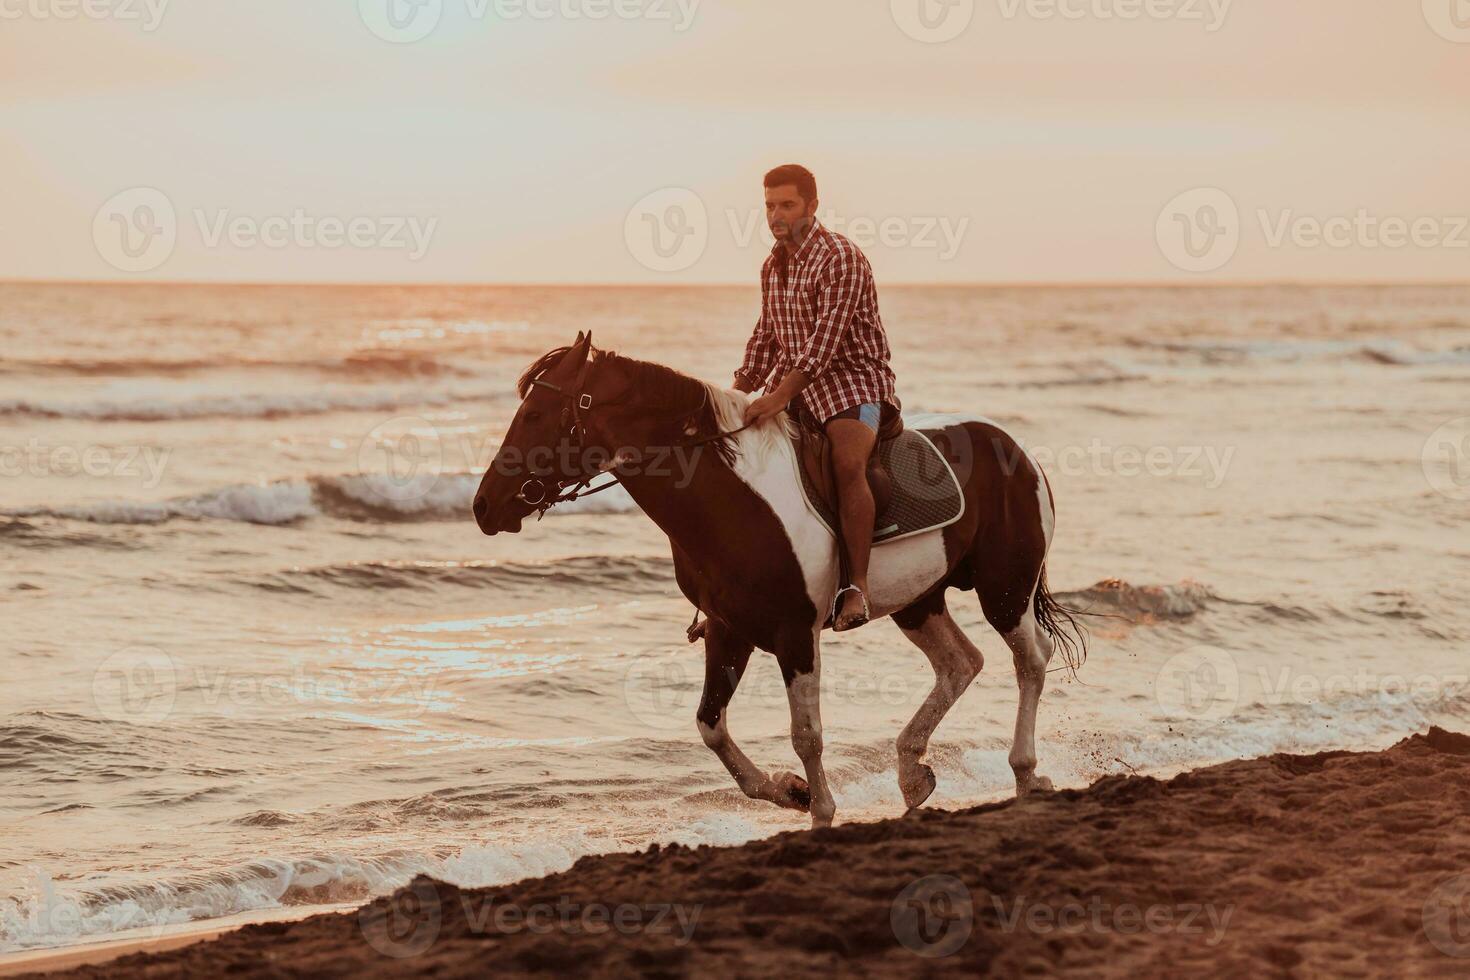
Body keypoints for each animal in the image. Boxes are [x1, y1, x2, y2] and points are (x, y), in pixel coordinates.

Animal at [476, 332, 1087, 828]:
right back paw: (913, 773)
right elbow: (711, 725)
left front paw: (820, 812)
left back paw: (1025, 771)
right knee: (961, 663)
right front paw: (789, 792)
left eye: (537, 414)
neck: (730, 499)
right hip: (920, 601)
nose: (484, 507)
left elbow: (806, 734)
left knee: (1030, 660)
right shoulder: (729, 630)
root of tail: (1015, 450)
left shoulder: (795, 635)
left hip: (1005, 590)